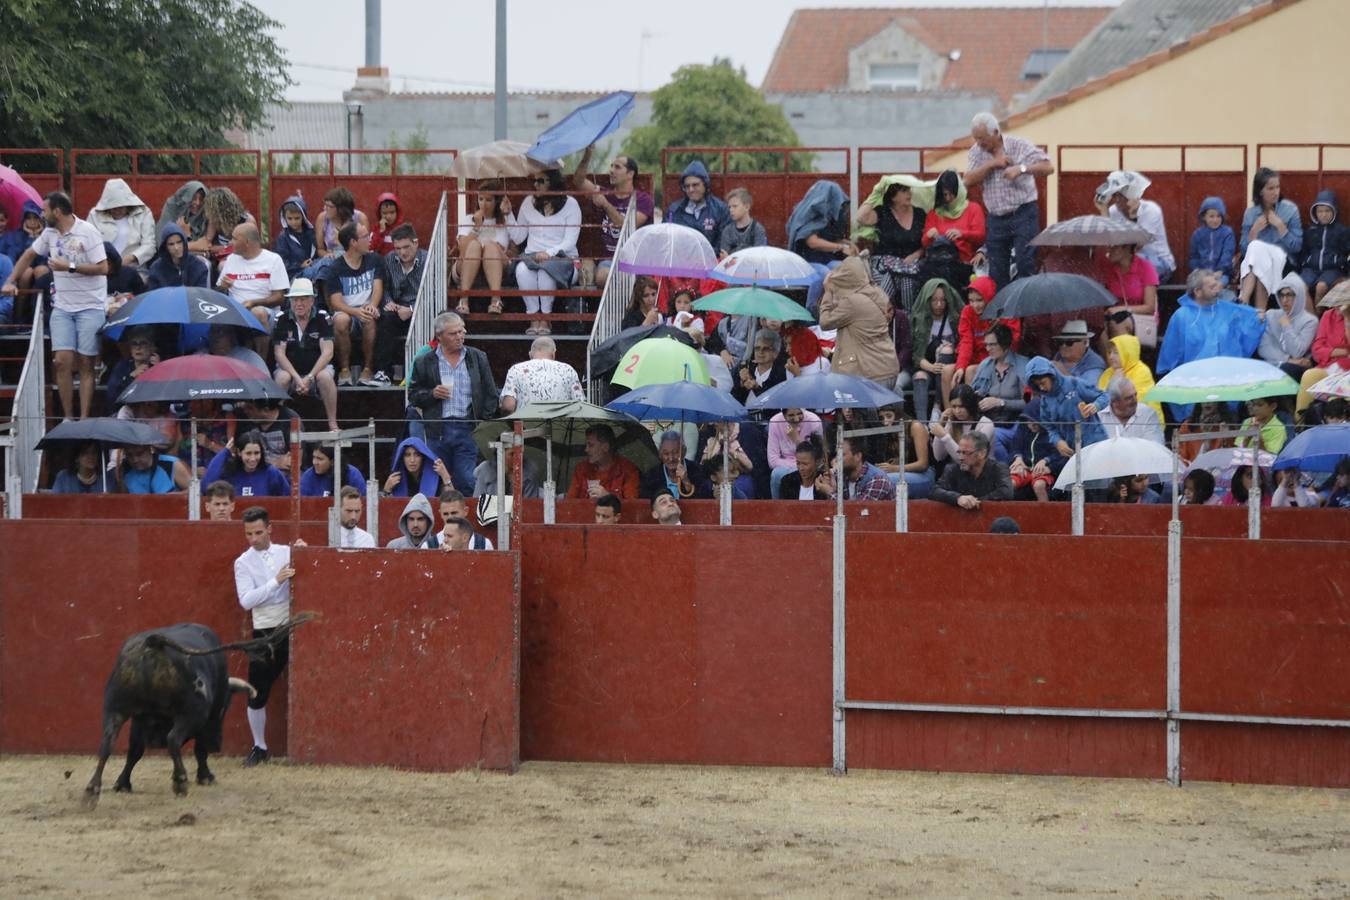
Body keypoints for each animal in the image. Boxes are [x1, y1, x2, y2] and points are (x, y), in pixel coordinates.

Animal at [83, 620, 309, 809]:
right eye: (226, 708)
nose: (218, 744)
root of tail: (154, 643)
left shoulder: (139, 720)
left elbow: (134, 751)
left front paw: (122, 784)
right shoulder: (205, 720)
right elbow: (200, 749)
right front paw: (205, 776)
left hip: (115, 708)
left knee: (107, 743)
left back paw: (92, 790)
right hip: (192, 714)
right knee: (174, 740)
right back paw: (181, 782)